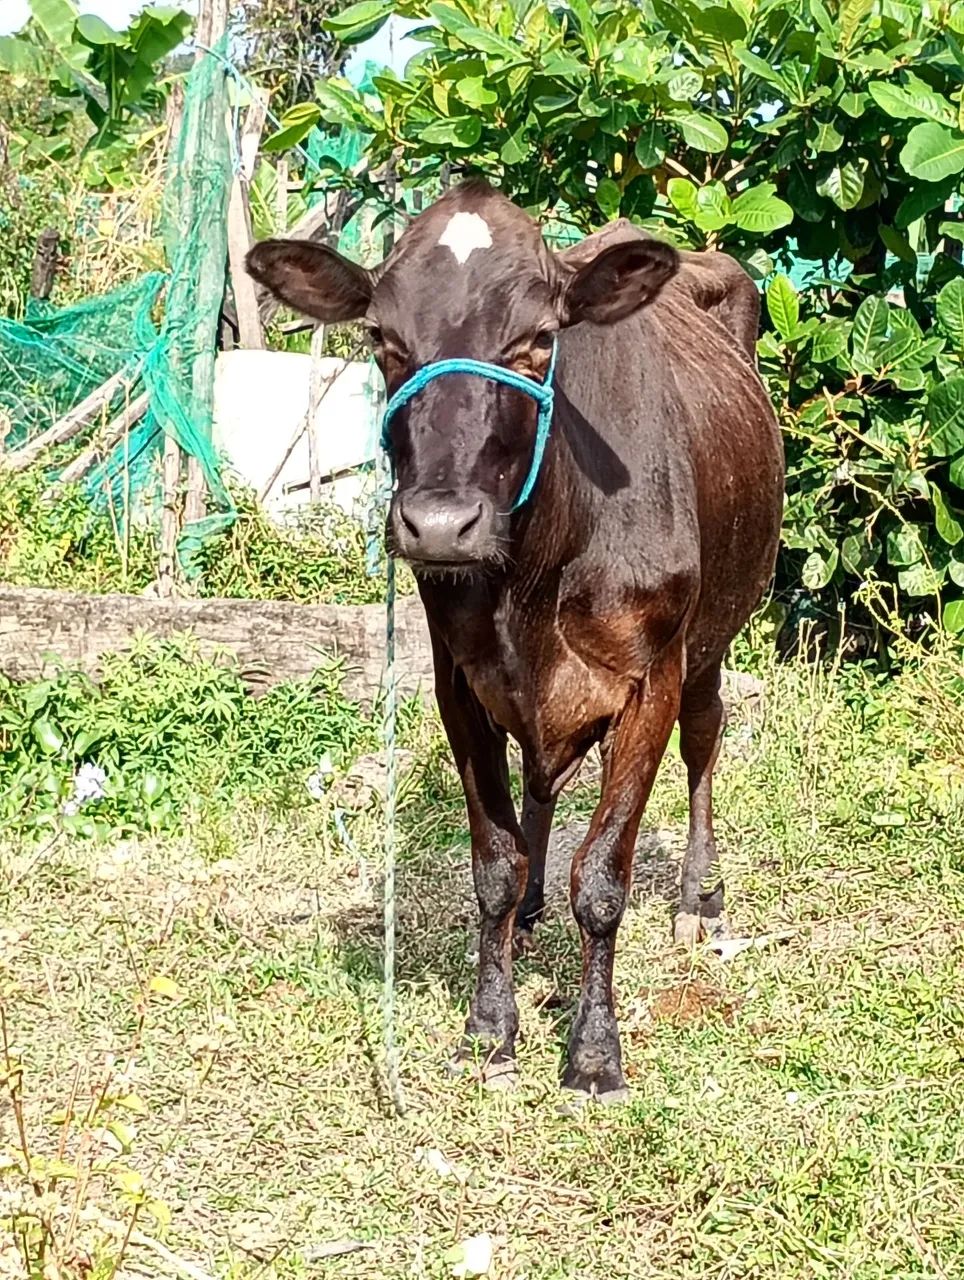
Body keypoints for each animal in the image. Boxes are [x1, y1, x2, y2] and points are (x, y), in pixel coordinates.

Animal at [247, 180, 784, 1103]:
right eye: (383, 339)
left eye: (538, 339)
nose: (439, 524)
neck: (537, 570)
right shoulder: (457, 682)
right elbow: (494, 868)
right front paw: (489, 1028)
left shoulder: (652, 678)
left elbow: (601, 879)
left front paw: (595, 1052)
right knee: (541, 786)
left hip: (714, 640)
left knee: (705, 743)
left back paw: (699, 897)